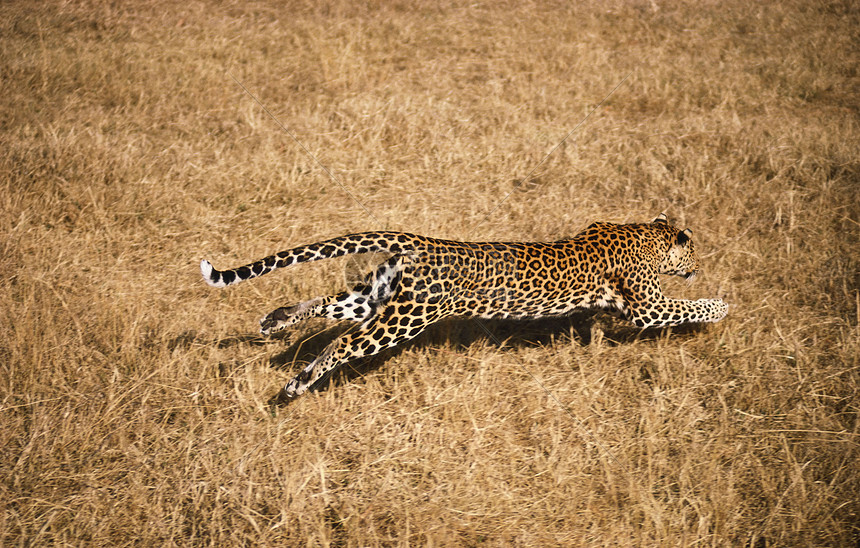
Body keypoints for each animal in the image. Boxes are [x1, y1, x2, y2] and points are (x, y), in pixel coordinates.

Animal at [200, 214, 724, 402]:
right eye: (695, 250)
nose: (700, 265)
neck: (647, 234)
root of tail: (424, 241)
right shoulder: (648, 307)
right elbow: (687, 307)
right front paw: (720, 305)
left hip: (378, 296)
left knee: (327, 304)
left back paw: (276, 320)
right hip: (403, 319)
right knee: (345, 343)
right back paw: (298, 382)